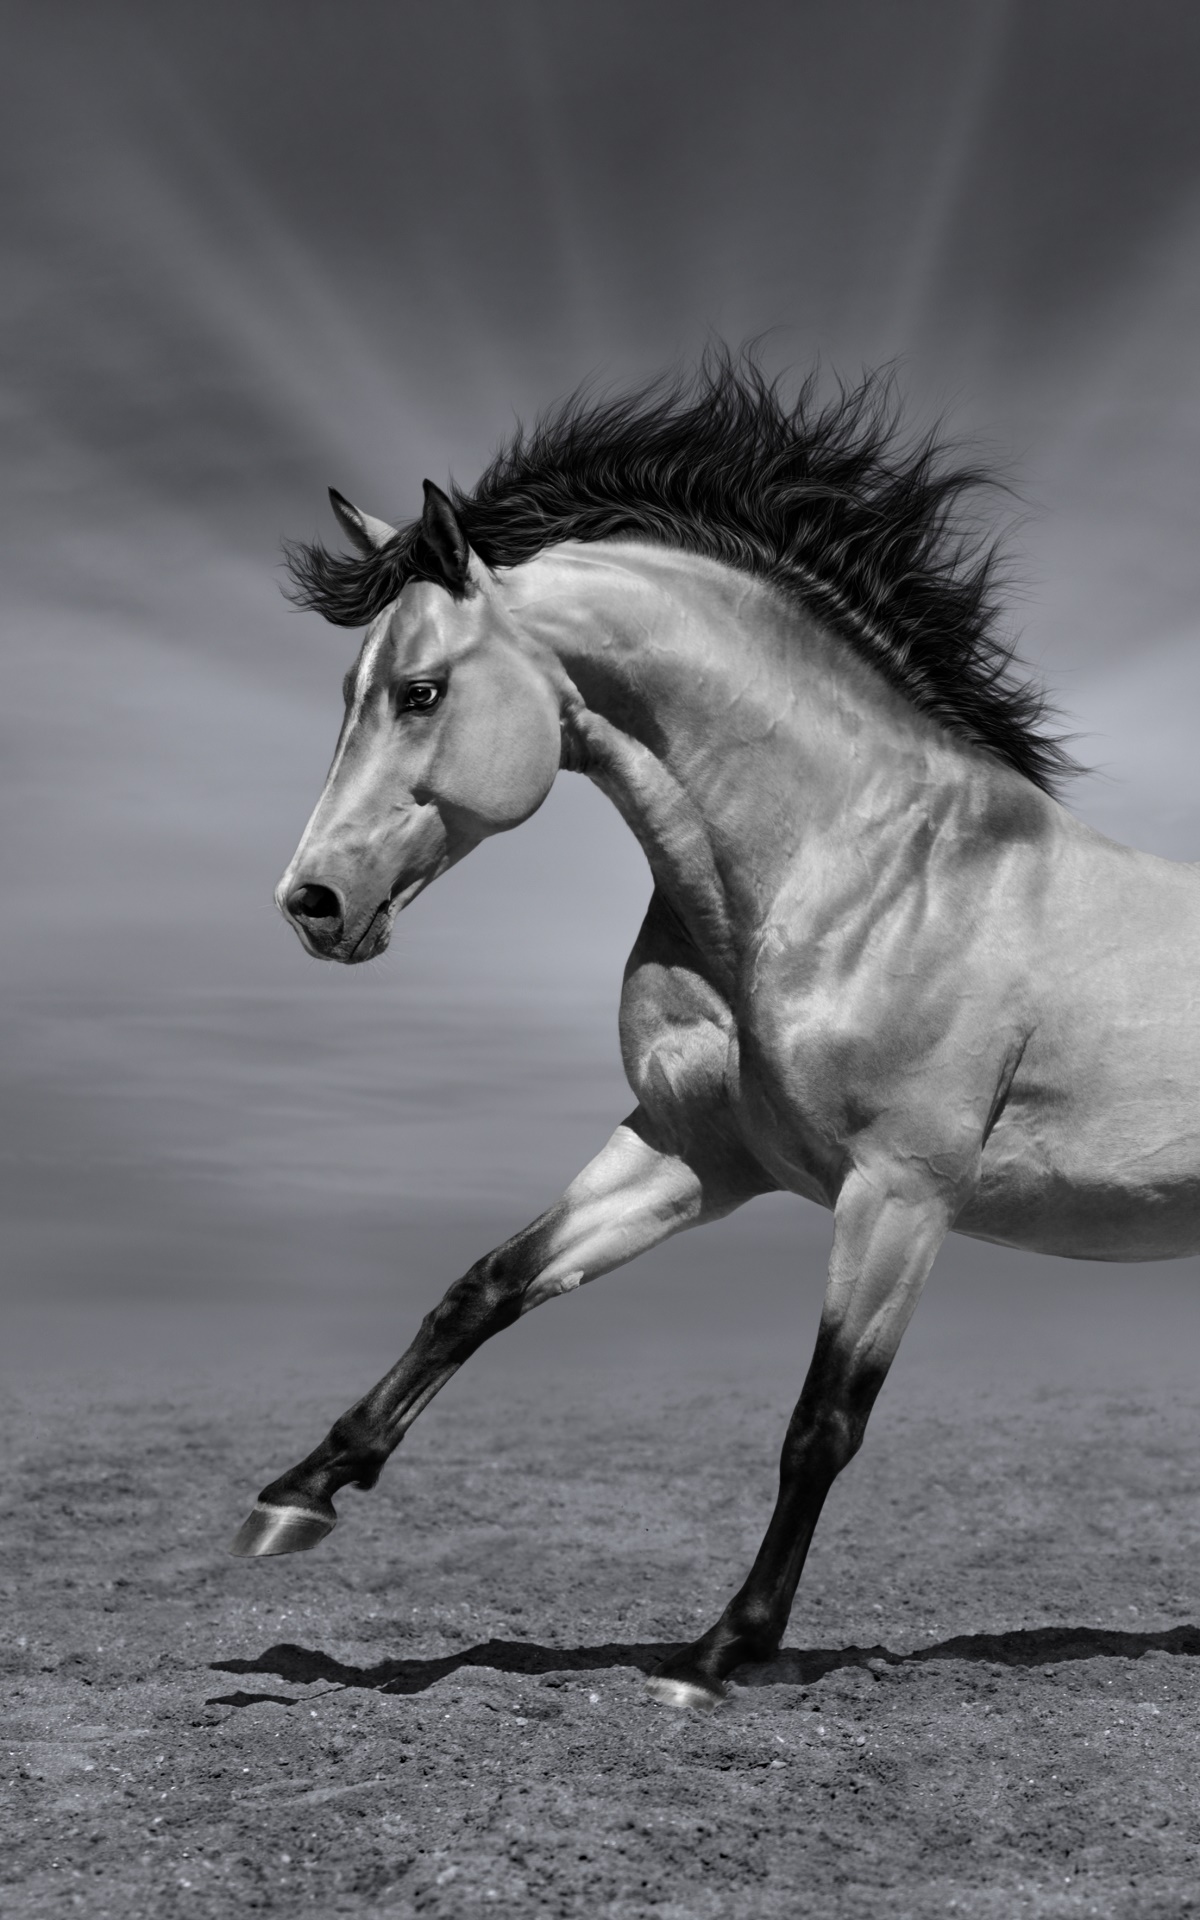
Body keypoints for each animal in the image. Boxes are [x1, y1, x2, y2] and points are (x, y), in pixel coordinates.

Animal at [230, 357, 1200, 1709]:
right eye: (348, 692)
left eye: (420, 692)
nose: (312, 904)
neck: (846, 873)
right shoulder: (695, 1151)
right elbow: (486, 1287)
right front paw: (296, 1496)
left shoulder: (899, 1193)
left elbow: (821, 1425)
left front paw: (718, 1652)